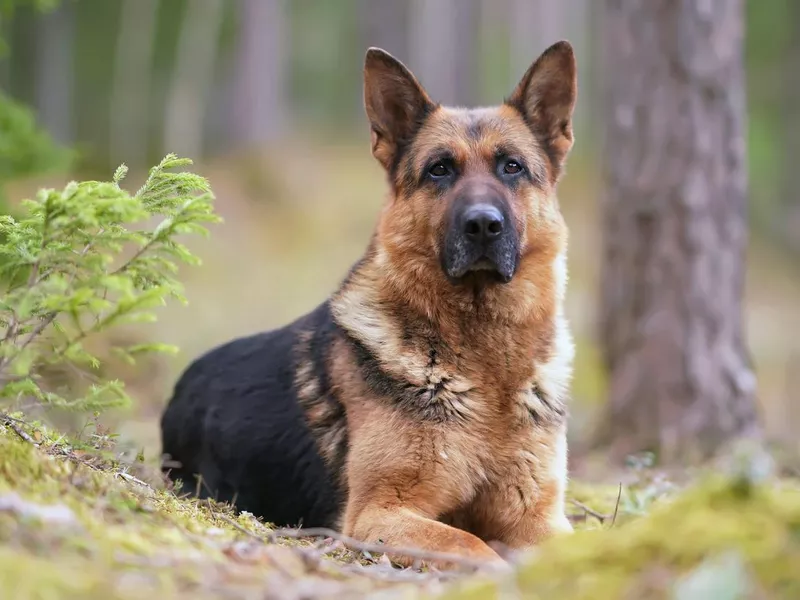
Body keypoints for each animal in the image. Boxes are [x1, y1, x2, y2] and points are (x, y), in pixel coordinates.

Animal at [159, 41, 580, 568]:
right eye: (440, 169)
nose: (483, 225)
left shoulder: (538, 518)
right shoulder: (379, 513)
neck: (483, 360)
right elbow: (474, 545)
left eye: (512, 167)